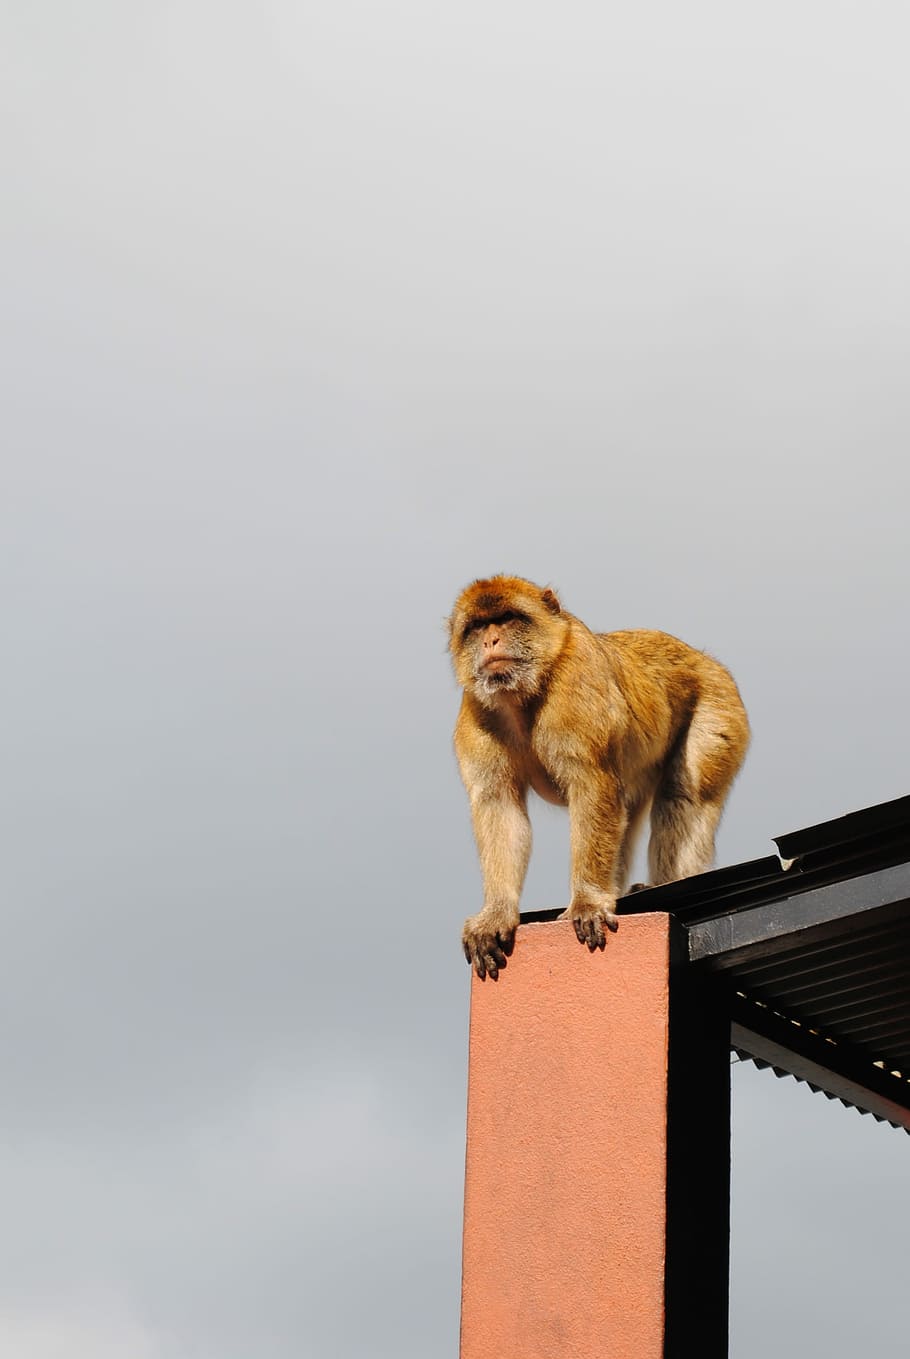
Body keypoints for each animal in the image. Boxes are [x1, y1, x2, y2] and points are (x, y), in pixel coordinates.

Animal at [448, 575, 750, 979]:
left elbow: (591, 786)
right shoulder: (477, 711)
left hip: (718, 705)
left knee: (685, 795)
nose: (490, 641)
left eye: (508, 618)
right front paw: (495, 914)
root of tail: (707, 661)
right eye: (478, 626)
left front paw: (587, 902)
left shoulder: (576, 691)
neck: (523, 696)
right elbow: (500, 807)